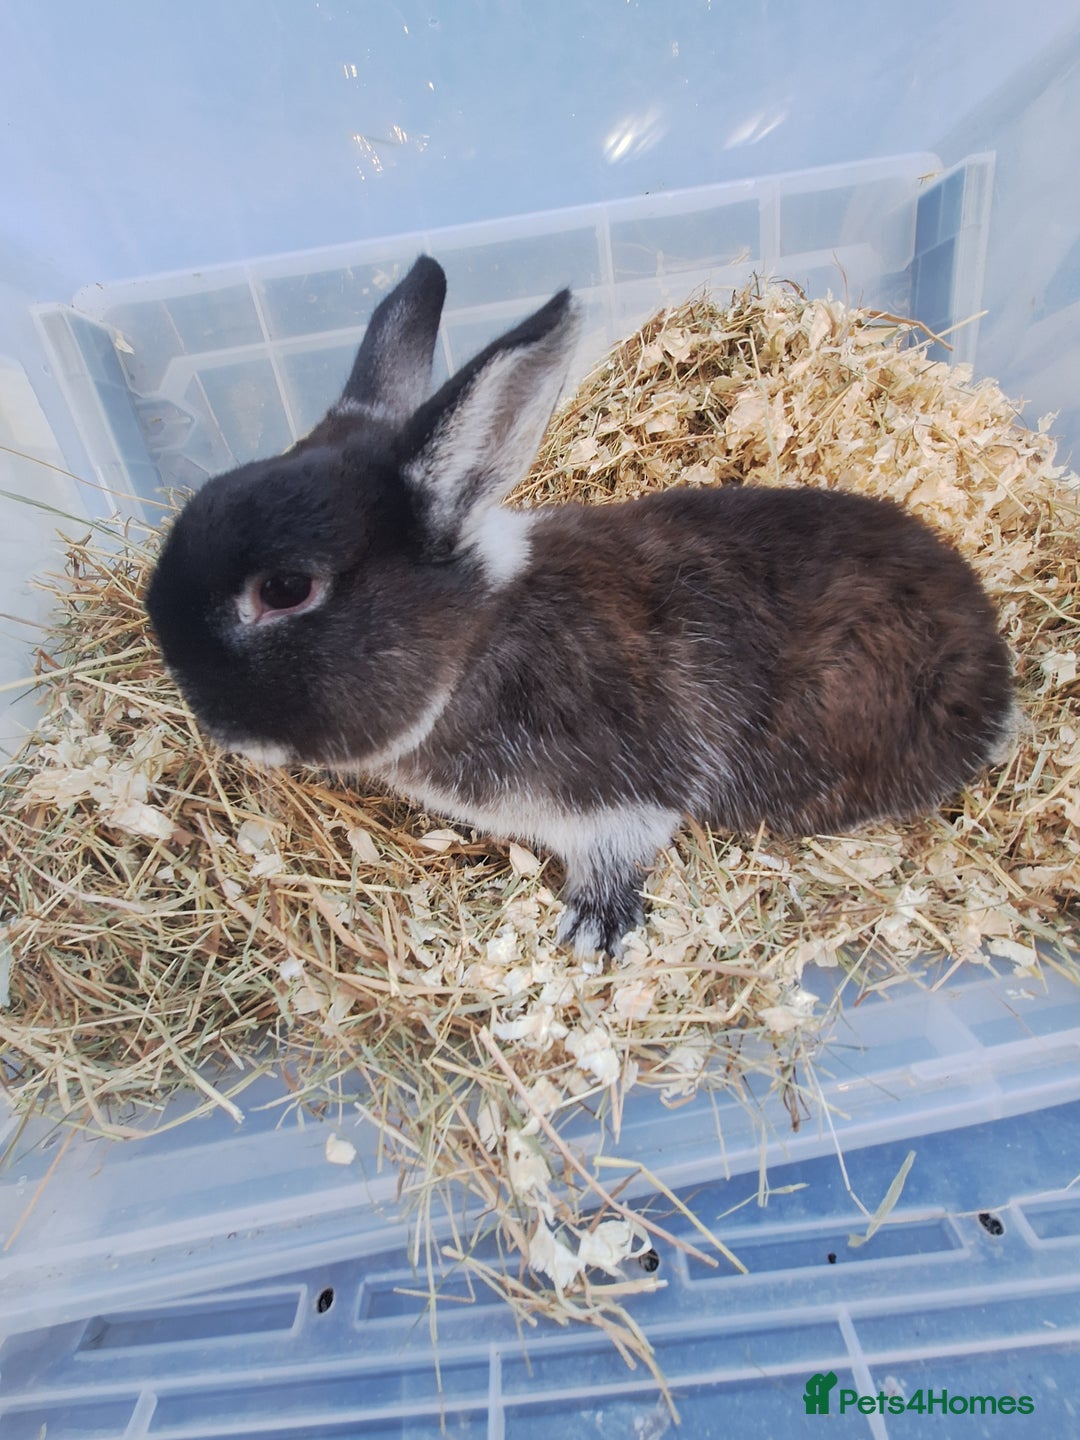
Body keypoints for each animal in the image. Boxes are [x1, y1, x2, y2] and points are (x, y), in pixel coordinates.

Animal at [145, 254, 1016, 958]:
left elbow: (616, 855)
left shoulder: (620, 797)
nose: (203, 713)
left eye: (285, 590)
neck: (472, 645)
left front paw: (593, 932)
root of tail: (996, 663)